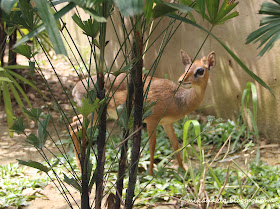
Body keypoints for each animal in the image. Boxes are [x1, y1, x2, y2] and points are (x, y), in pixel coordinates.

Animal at [69, 50, 215, 175]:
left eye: (200, 70)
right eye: (186, 68)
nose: (181, 80)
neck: (176, 100)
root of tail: (75, 89)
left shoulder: (166, 123)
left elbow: (175, 144)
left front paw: (183, 170)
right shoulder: (152, 120)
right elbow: (152, 145)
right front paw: (151, 173)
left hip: (90, 114)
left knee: (73, 122)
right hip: (93, 114)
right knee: (74, 128)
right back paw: (80, 166)